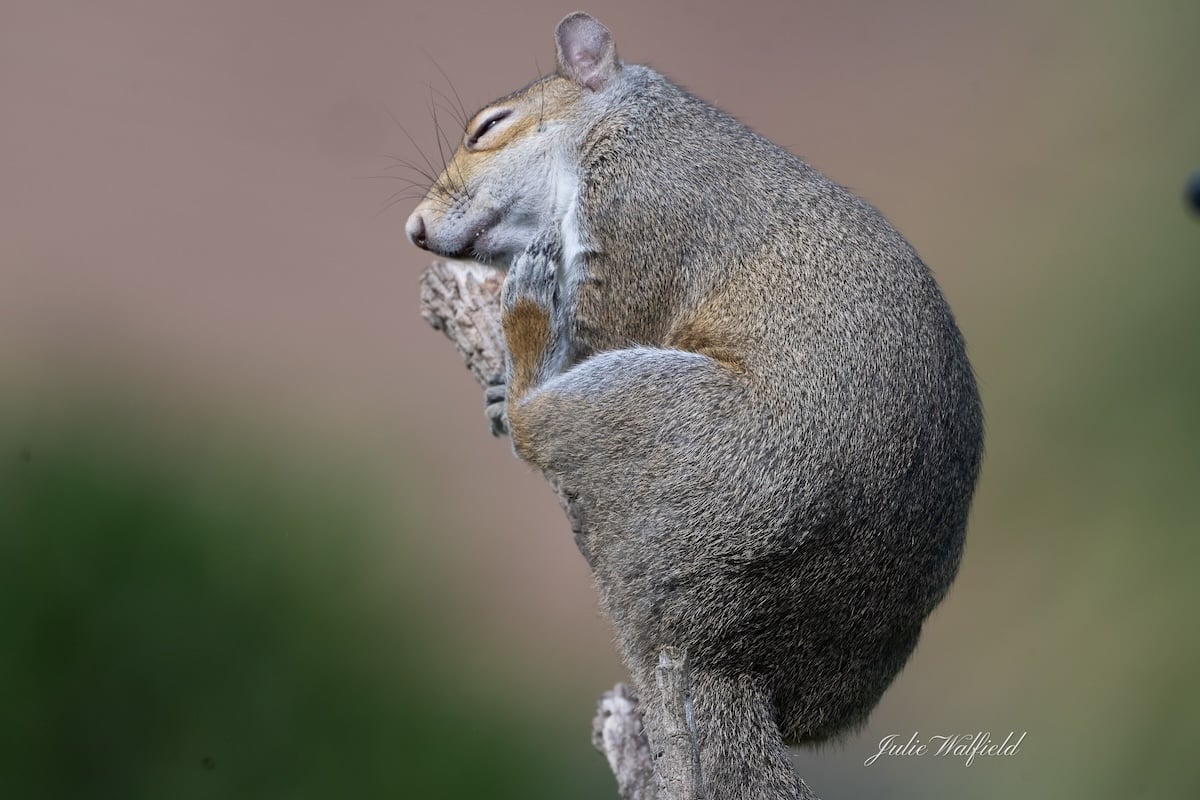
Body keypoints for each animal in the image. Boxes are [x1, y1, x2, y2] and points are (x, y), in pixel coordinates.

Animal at [406, 12, 983, 800]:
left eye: (488, 127)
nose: (414, 228)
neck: (622, 123)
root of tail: (728, 634)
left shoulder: (639, 217)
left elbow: (603, 329)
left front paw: (515, 366)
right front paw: (492, 389)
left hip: (643, 406)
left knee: (540, 424)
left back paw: (522, 325)